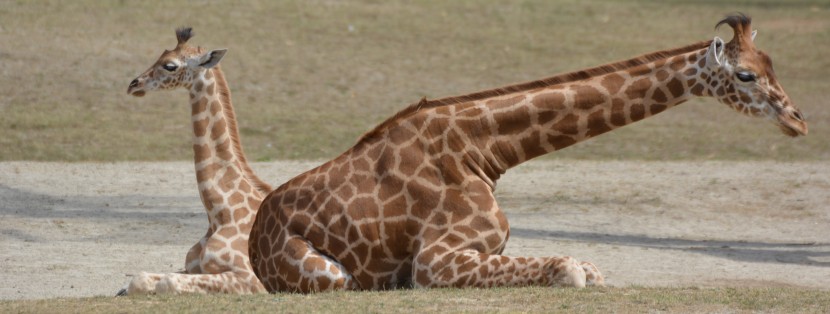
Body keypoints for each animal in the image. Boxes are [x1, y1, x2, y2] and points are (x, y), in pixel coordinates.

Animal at [122, 27, 272, 294]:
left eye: (170, 65)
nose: (133, 84)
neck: (219, 213)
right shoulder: (191, 267)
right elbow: (140, 278)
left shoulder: (251, 279)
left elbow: (168, 282)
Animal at [250, 14, 808, 292]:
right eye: (745, 75)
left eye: (772, 64)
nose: (799, 120)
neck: (482, 150)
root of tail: (255, 236)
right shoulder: (435, 260)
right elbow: (572, 271)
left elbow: (583, 267)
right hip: (328, 274)